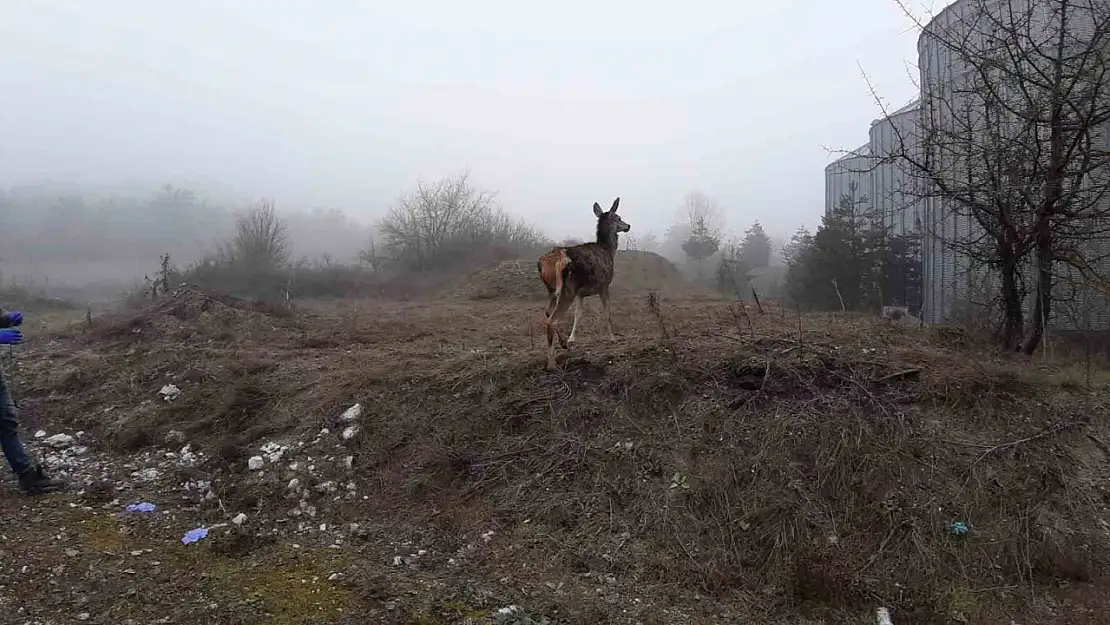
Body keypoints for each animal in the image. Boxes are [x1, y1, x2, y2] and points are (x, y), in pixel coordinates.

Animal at [539, 197, 634, 368]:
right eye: (618, 217)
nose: (628, 225)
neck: (608, 251)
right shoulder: (604, 285)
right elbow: (607, 312)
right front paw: (613, 338)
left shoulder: (580, 294)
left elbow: (578, 315)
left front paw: (571, 339)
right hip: (567, 288)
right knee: (552, 320)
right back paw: (551, 364)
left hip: (553, 290)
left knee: (548, 312)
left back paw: (563, 343)